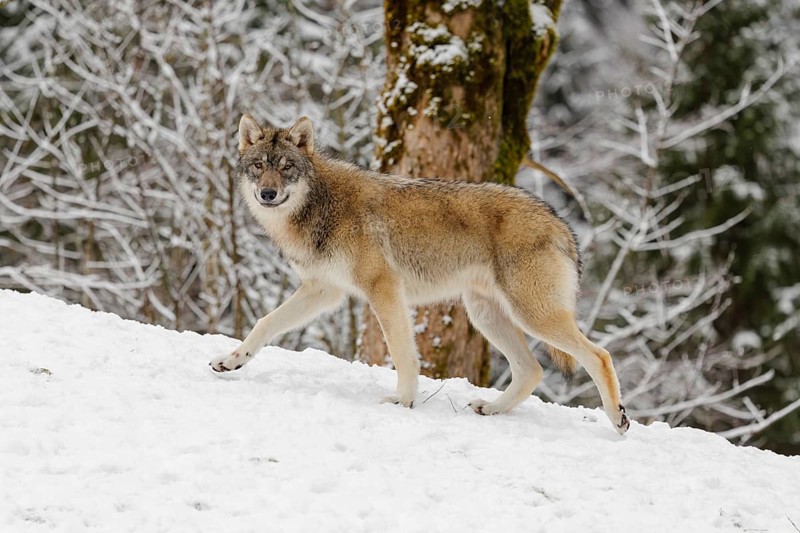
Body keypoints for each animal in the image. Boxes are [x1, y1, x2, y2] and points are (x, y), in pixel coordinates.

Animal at [210, 114, 630, 434]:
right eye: (259, 166)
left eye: (286, 168)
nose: (267, 194)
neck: (319, 207)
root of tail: (560, 223)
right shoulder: (324, 291)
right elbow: (265, 323)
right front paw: (231, 361)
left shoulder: (383, 289)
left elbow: (401, 352)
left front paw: (403, 400)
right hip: (486, 316)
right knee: (533, 370)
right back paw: (492, 409)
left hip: (532, 316)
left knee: (600, 355)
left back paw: (618, 419)